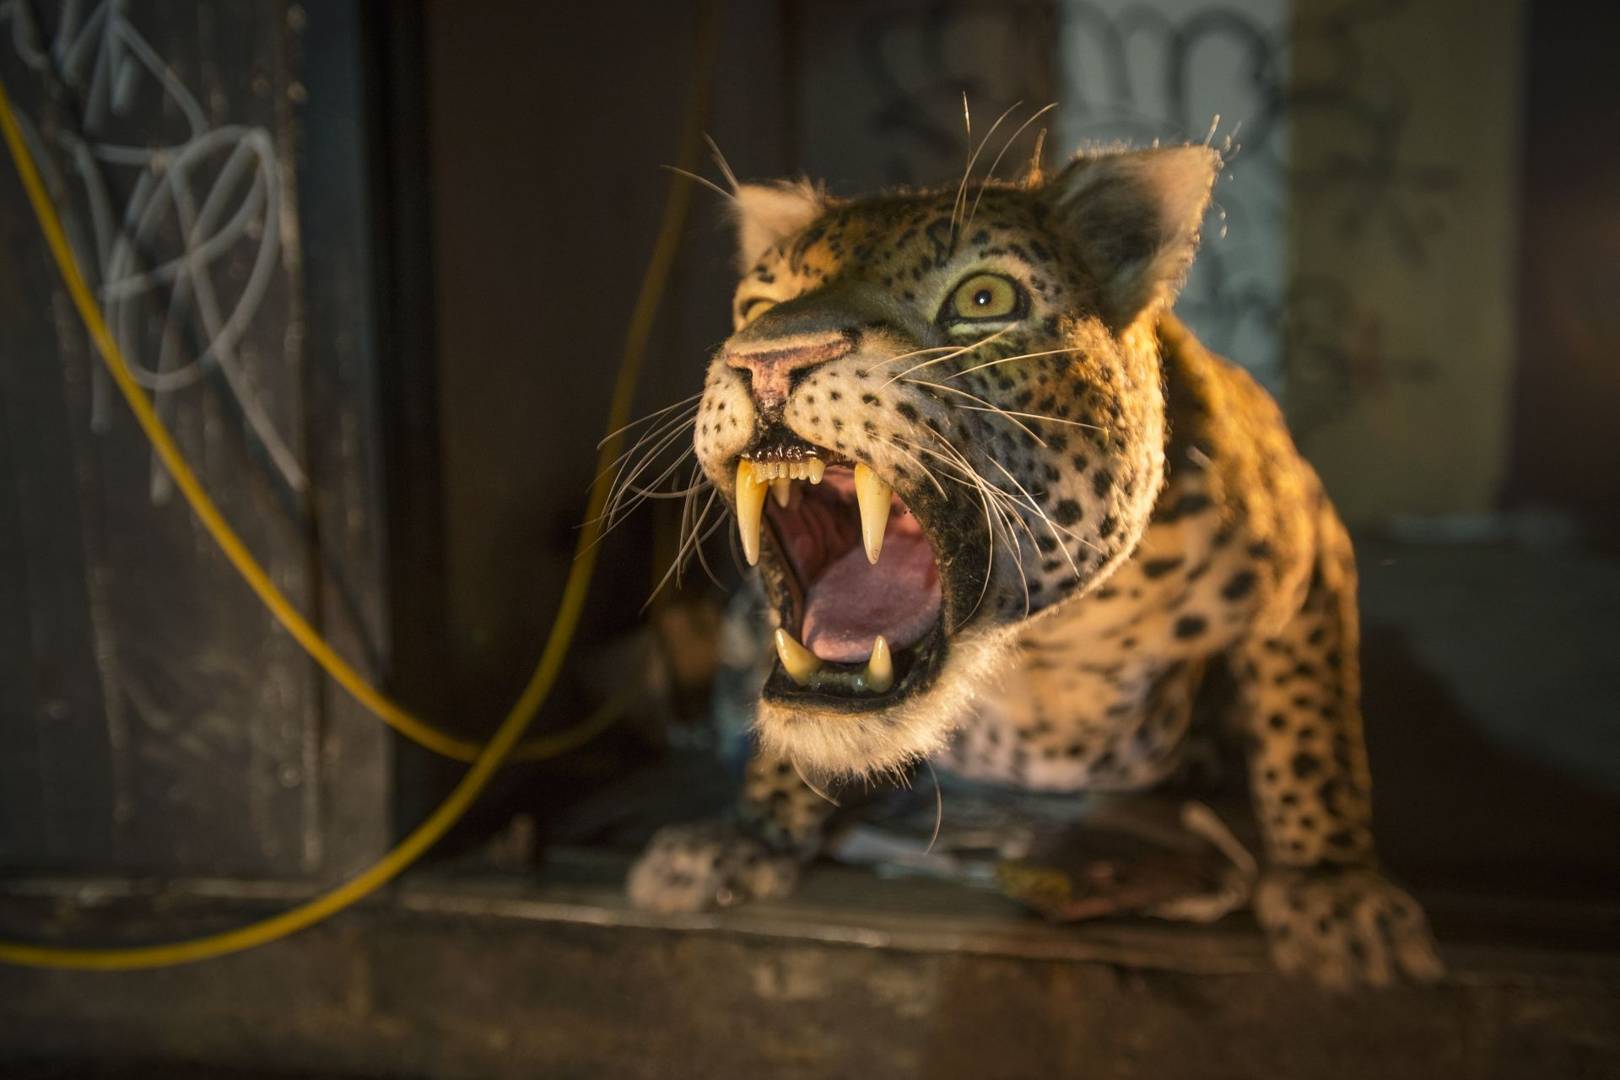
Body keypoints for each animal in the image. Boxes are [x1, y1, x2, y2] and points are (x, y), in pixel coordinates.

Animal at [624, 141, 1443, 989]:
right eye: (757, 306)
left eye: (984, 299)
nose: (770, 361)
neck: (1032, 636)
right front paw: (747, 836)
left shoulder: (1309, 556)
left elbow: (1312, 738)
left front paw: (1338, 894)